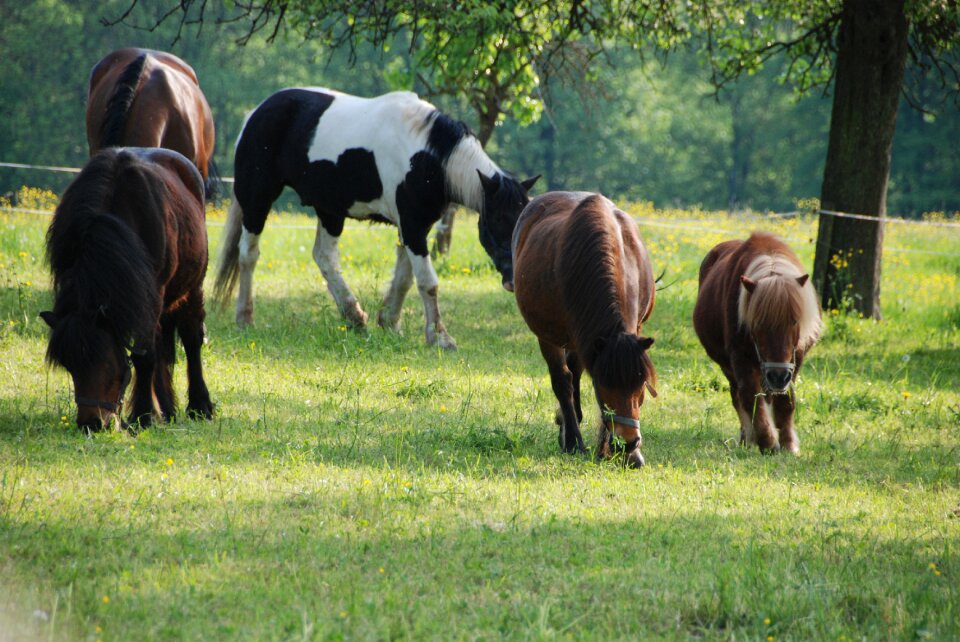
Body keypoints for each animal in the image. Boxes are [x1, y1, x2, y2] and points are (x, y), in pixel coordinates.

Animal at [41, 148, 214, 430]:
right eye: (69, 365)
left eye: (105, 360)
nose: (91, 423)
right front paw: (150, 412)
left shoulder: (152, 296)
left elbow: (144, 357)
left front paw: (142, 415)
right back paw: (167, 408)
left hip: (192, 287)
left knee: (191, 338)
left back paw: (199, 406)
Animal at [213, 87, 536, 348]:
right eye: (497, 223)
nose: (514, 281)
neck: (425, 155)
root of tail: (256, 112)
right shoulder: (412, 225)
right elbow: (427, 282)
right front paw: (440, 337)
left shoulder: (415, 226)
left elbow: (405, 278)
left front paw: (390, 322)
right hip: (257, 199)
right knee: (248, 255)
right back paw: (245, 318)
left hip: (330, 211)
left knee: (324, 257)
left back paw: (354, 316)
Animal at [510, 190, 660, 464]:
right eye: (604, 386)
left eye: (640, 384)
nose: (628, 442)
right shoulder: (558, 336)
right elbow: (562, 382)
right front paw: (573, 441)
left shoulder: (630, 331)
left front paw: (613, 450)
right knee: (566, 377)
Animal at [692, 230, 820, 450]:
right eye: (758, 323)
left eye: (795, 320)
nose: (777, 376)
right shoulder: (740, 359)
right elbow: (750, 396)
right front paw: (767, 441)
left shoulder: (795, 360)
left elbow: (786, 400)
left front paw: (788, 444)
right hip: (730, 368)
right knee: (737, 396)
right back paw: (748, 438)